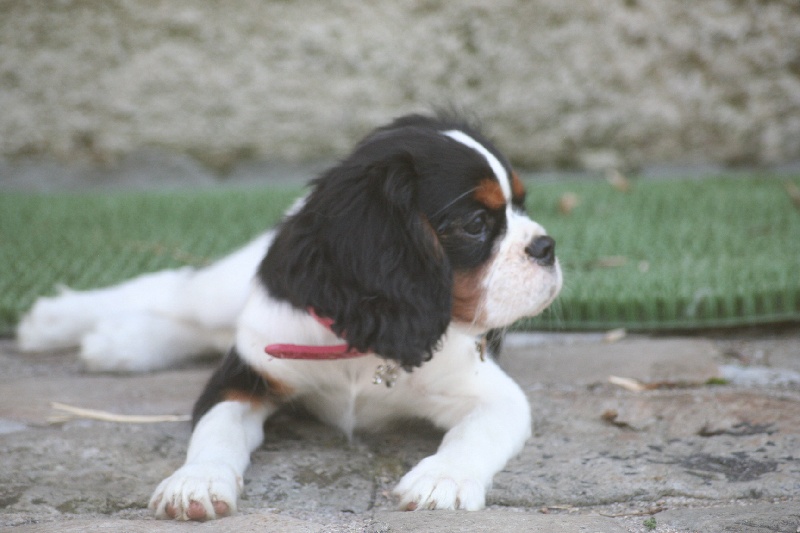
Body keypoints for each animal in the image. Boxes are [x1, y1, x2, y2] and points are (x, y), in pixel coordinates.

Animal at [15, 113, 560, 520]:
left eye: (522, 205)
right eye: (476, 224)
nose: (547, 246)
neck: (362, 342)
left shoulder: (494, 394)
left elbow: (477, 432)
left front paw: (442, 478)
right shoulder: (246, 376)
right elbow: (215, 430)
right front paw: (196, 482)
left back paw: (120, 342)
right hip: (225, 294)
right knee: (174, 288)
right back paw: (59, 323)